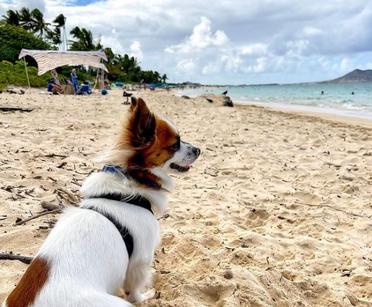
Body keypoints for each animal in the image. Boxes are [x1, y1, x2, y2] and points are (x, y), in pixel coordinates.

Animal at [2, 98, 201, 307]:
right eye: (175, 145)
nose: (199, 149)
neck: (131, 180)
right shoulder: (140, 259)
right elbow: (134, 289)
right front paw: (144, 296)